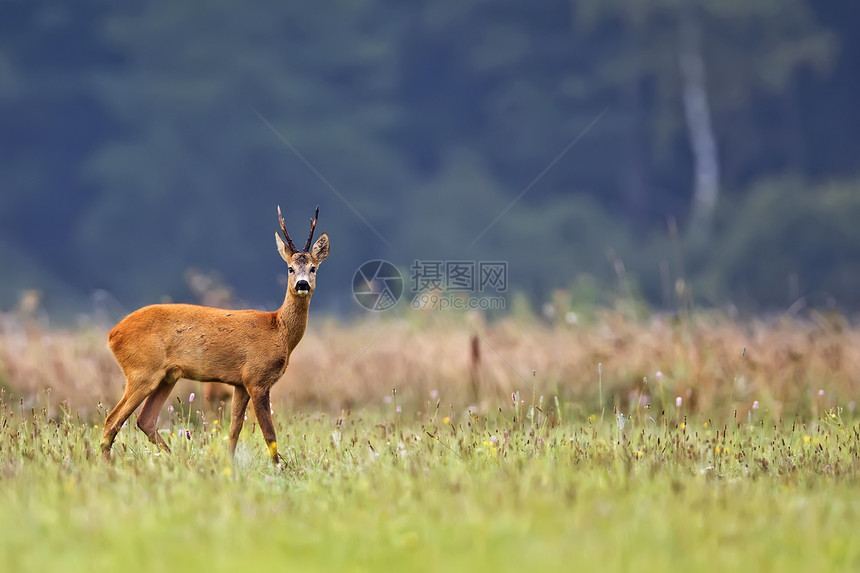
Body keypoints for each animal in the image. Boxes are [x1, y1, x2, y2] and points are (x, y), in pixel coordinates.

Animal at [101, 206, 330, 464]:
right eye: (290, 268)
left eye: (313, 268)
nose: (302, 284)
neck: (278, 330)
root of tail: (112, 334)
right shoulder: (257, 378)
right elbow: (269, 434)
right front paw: (280, 467)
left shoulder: (240, 383)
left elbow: (234, 429)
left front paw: (229, 463)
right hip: (142, 372)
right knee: (112, 420)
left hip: (167, 376)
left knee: (144, 420)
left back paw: (177, 460)